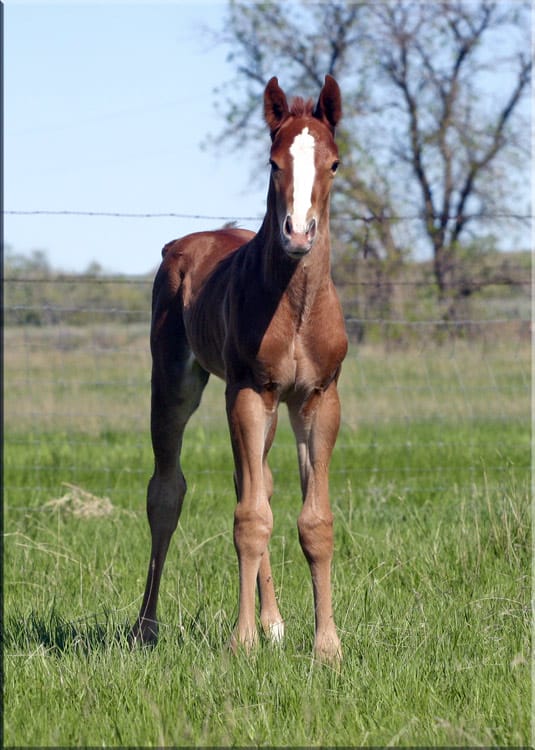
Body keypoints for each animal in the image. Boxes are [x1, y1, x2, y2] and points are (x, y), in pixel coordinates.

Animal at [130, 76, 348, 664]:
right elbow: (249, 519)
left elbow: (313, 521)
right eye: (272, 162)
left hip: (267, 409)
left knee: (256, 482)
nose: (298, 234)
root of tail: (181, 244)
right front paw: (242, 642)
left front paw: (326, 647)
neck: (295, 304)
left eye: (334, 162)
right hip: (177, 385)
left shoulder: (318, 398)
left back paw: (275, 622)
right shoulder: (250, 392)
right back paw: (146, 627)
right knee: (167, 491)